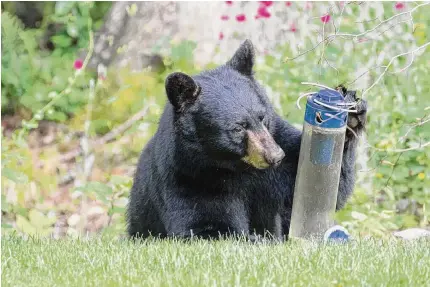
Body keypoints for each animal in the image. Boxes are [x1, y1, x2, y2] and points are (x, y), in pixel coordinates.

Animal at [126, 38, 368, 241]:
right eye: (237, 128)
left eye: (262, 117)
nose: (275, 156)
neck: (238, 168)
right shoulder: (189, 179)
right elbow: (206, 225)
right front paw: (257, 239)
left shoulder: (278, 155)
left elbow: (316, 188)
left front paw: (350, 113)